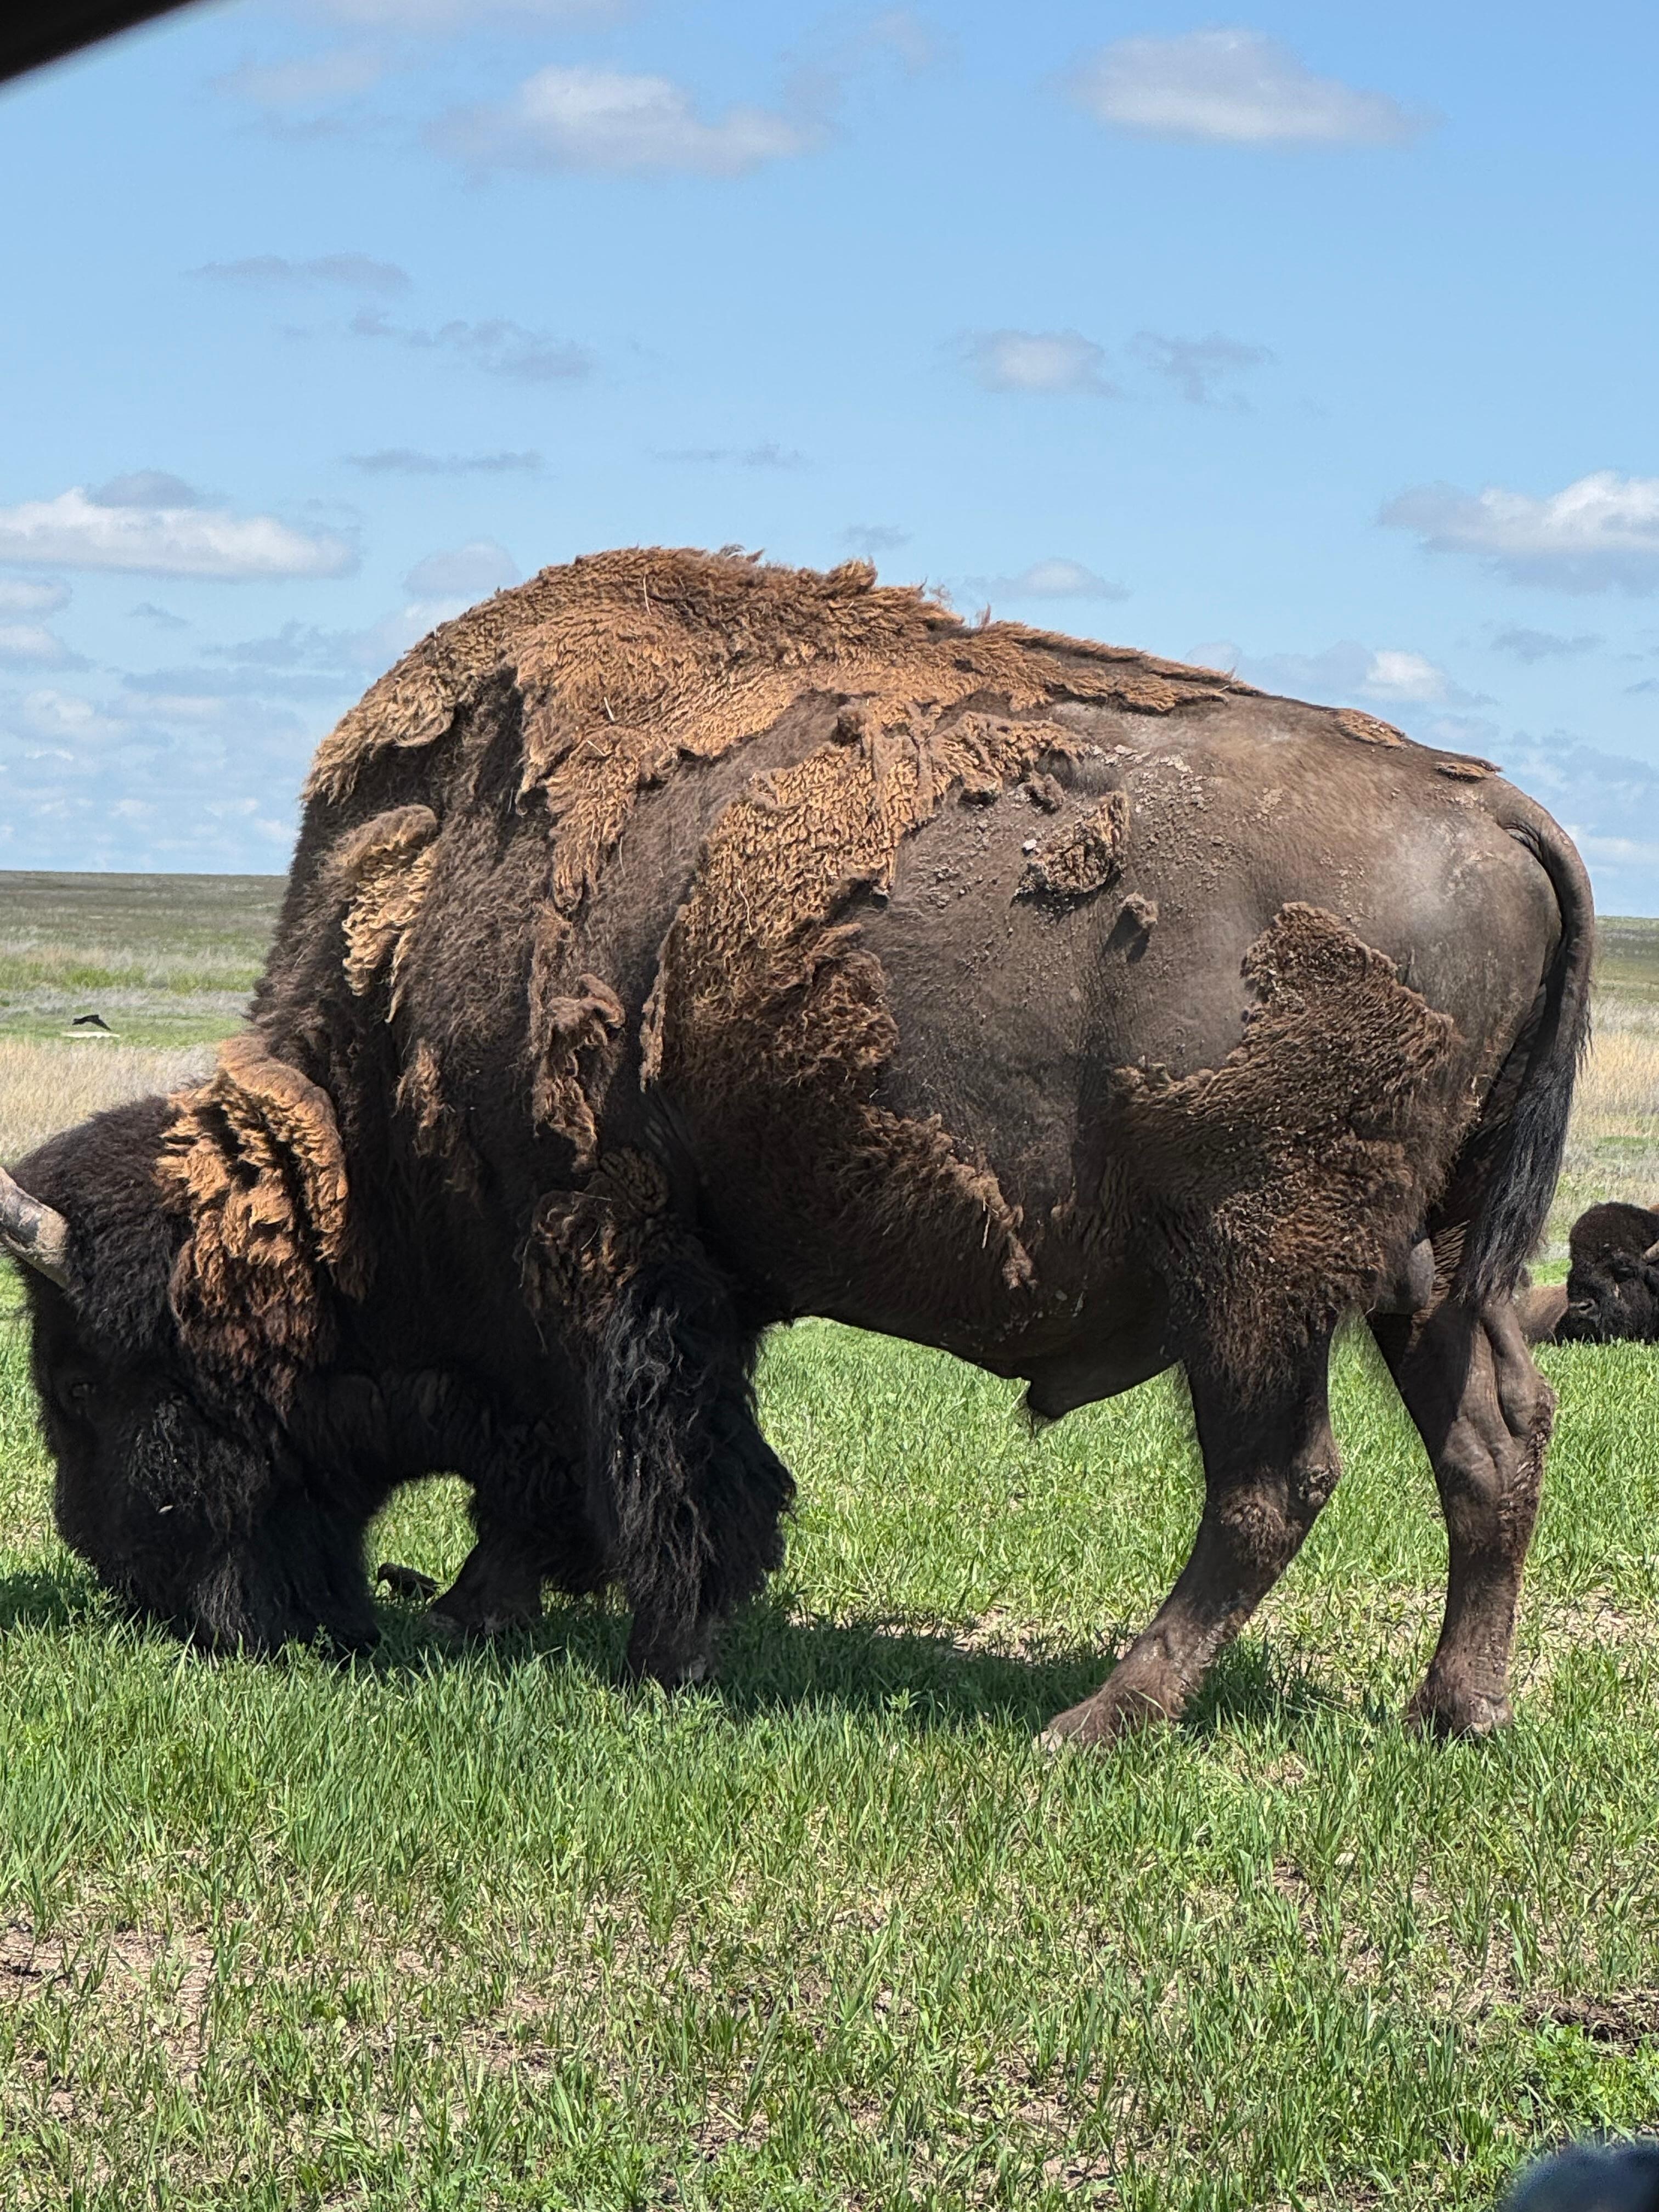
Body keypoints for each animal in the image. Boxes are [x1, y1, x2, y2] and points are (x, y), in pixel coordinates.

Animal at [0, 548, 1592, 1746]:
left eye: (85, 1376)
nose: (120, 1572)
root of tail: (1501, 810)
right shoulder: (680, 1277)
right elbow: (619, 1463)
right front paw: (493, 1610)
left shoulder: (601, 1254)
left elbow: (632, 1461)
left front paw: (648, 1654)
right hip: (1425, 1263)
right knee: (1492, 1443)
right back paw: (1452, 1715)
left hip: (1257, 1275)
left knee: (1277, 1484)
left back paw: (1095, 1722)